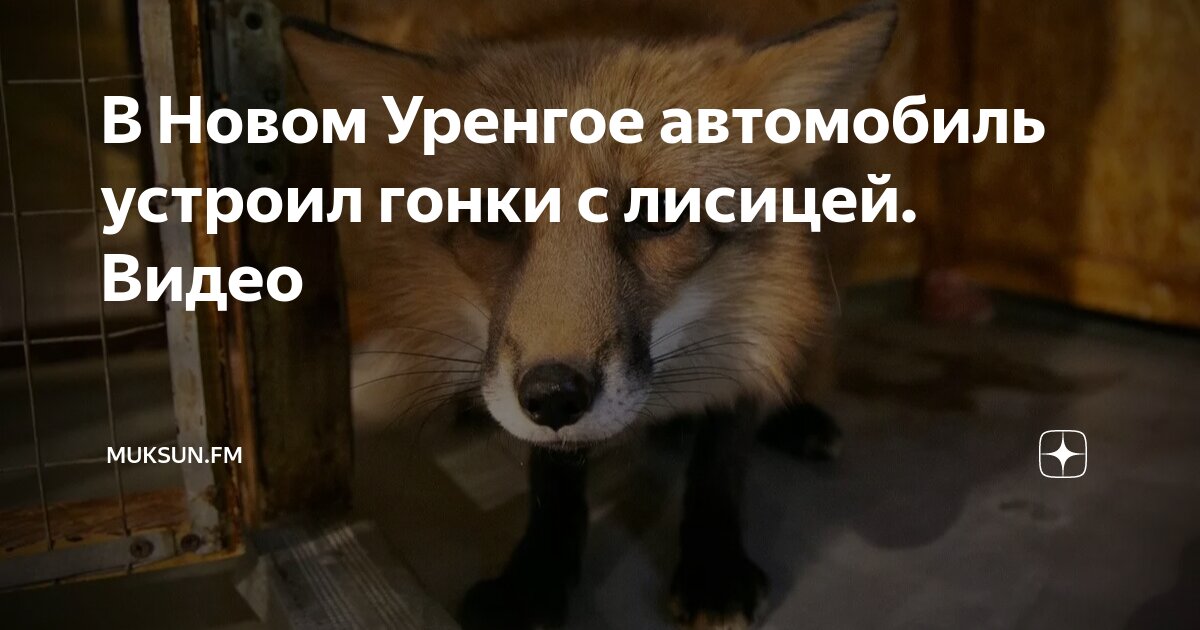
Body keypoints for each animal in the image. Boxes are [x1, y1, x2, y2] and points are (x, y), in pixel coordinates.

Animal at [283, 1, 896, 627]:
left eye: (658, 215)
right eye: (492, 217)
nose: (554, 396)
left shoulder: (758, 309)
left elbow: (722, 451)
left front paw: (713, 565)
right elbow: (552, 479)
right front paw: (535, 579)